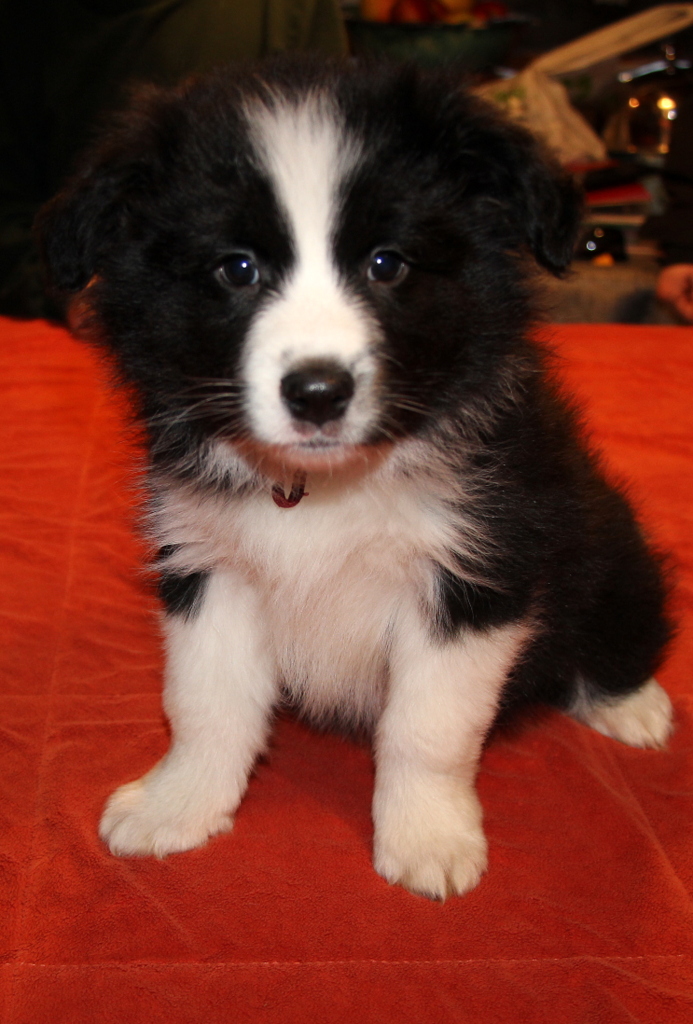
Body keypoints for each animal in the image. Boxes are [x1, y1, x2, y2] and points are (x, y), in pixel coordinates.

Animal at [38, 57, 674, 899]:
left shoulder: (475, 570)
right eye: (236, 268)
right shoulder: (208, 560)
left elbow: (427, 728)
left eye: (387, 263)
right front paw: (179, 805)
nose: (317, 392)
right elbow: (204, 702)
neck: (325, 488)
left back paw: (631, 705)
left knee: (622, 620)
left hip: (605, 536)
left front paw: (428, 837)